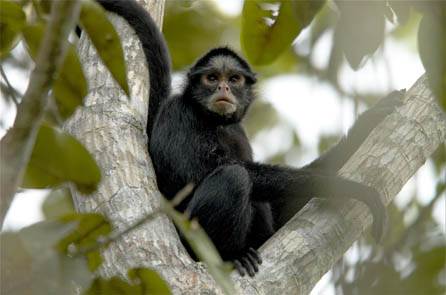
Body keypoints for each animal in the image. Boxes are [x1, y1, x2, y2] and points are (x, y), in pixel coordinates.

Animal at [95, 0, 404, 278]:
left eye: (234, 79)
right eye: (211, 78)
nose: (223, 88)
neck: (216, 123)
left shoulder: (238, 130)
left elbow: (281, 207)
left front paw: (367, 123)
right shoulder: (178, 112)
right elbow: (201, 173)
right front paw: (350, 188)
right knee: (235, 177)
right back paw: (230, 257)